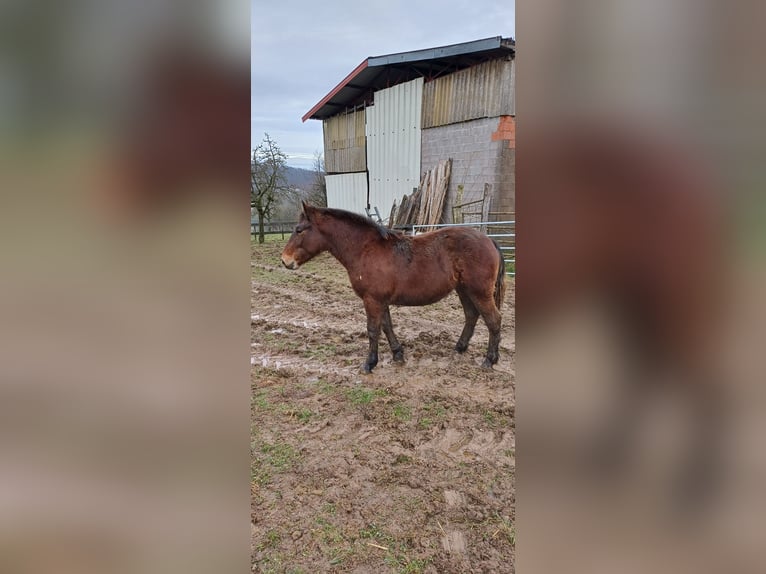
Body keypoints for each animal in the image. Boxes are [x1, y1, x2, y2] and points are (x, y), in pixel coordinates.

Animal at [281, 202, 507, 373]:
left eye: (299, 230)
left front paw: (369, 364)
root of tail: (489, 240)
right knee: (471, 316)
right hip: (464, 290)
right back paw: (460, 348)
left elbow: (373, 330)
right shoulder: (381, 300)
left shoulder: (372, 300)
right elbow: (386, 326)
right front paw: (398, 354)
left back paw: (490, 360)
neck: (365, 249)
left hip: (479, 292)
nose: (285, 260)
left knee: (493, 320)